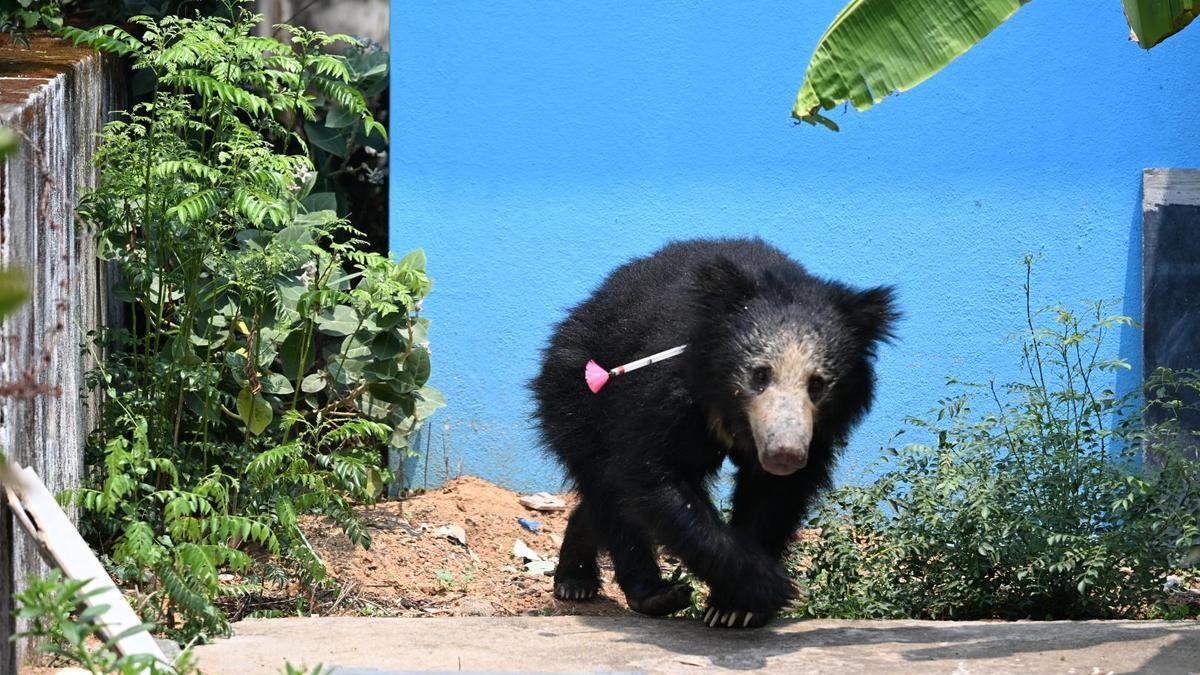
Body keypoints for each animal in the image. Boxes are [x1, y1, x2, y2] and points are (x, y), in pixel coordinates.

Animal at [530, 237, 898, 628]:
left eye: (817, 385)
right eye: (759, 374)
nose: (784, 455)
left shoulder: (817, 432)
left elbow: (774, 497)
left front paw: (735, 609)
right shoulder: (667, 391)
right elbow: (654, 475)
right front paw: (771, 587)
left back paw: (577, 575)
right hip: (576, 395)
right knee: (607, 485)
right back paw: (635, 592)